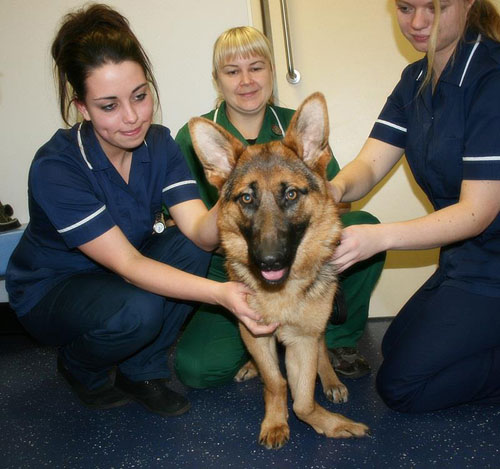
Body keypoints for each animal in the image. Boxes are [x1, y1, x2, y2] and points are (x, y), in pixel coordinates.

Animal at [188, 91, 368, 446]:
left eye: (291, 194)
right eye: (246, 199)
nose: (268, 261)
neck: (281, 292)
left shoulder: (302, 340)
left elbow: (303, 400)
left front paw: (328, 422)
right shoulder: (256, 333)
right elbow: (276, 383)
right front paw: (274, 421)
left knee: (322, 346)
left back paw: (329, 378)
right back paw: (251, 367)